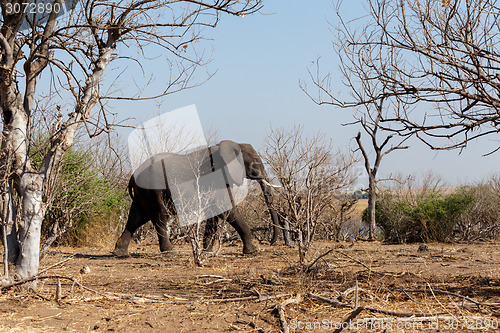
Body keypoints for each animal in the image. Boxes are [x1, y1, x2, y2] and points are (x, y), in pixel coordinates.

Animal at [113, 139, 292, 255]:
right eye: (255, 161)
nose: (270, 242)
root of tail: (133, 176)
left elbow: (215, 214)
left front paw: (207, 251)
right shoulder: (216, 177)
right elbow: (226, 210)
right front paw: (253, 251)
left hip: (143, 193)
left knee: (136, 218)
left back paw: (119, 253)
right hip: (154, 189)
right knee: (160, 216)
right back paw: (170, 252)